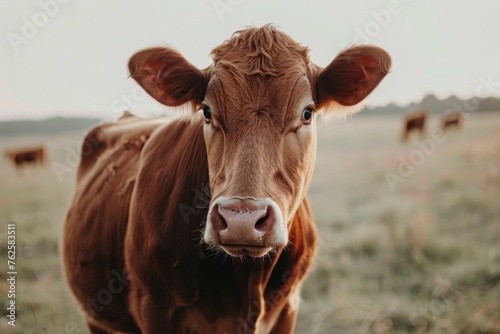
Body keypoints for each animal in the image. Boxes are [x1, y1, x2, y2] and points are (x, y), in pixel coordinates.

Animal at [62, 24, 390, 332]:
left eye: (307, 113)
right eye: (207, 112)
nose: (241, 220)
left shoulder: (289, 307)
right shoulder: (153, 307)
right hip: (97, 318)